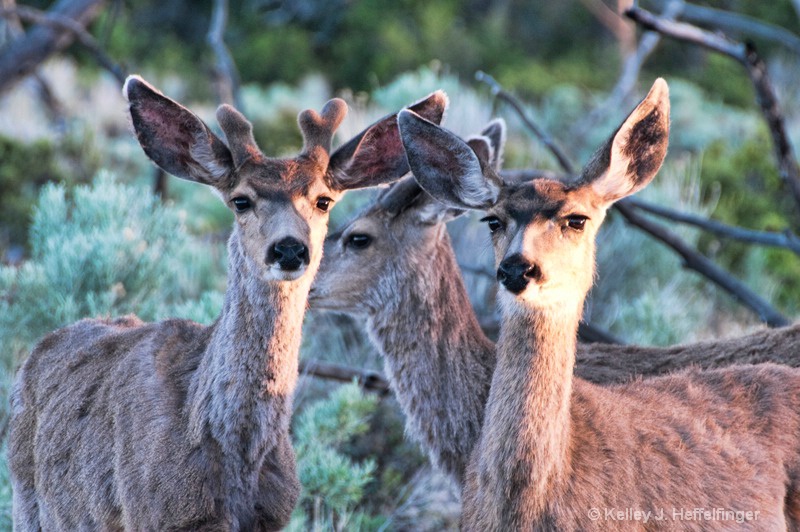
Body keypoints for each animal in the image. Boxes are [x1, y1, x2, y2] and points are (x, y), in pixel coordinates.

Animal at [6, 77, 446, 528]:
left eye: (324, 200)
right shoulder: (151, 512)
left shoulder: (274, 516)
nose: (289, 249)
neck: (232, 447)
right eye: (241, 200)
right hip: (28, 502)